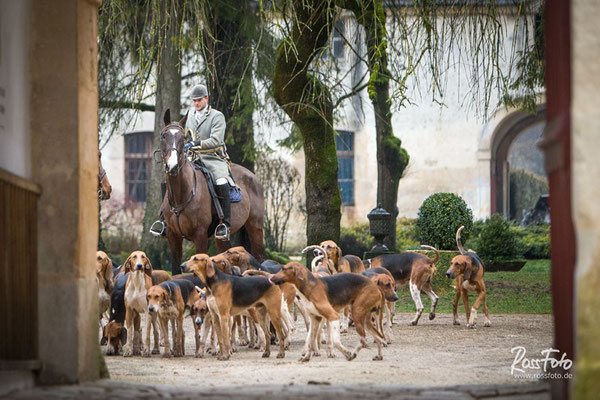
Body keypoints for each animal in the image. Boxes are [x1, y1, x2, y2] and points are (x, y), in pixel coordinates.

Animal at [158, 109, 264, 276]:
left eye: (183, 138)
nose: (172, 166)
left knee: (259, 258)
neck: (182, 195)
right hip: (221, 238)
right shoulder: (172, 236)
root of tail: (253, 176)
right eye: (163, 135)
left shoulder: (200, 235)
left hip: (255, 227)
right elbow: (175, 271)